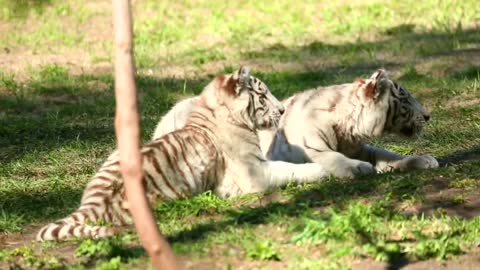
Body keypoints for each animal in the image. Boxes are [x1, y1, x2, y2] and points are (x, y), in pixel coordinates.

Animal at [154, 69, 438, 179]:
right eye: (405, 98)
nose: (427, 115)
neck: (348, 130)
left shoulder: (362, 147)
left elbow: (389, 155)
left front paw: (425, 160)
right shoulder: (312, 149)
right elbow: (333, 158)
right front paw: (358, 168)